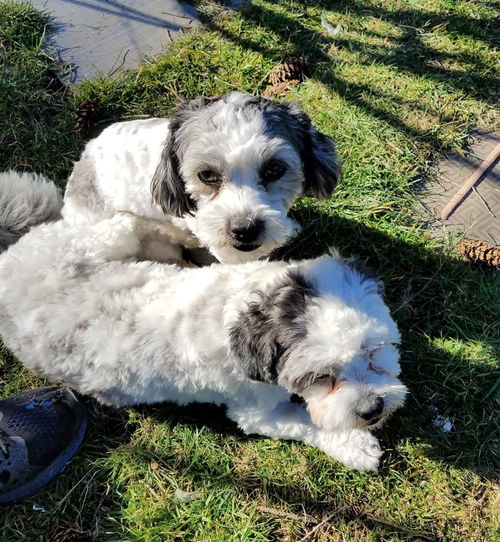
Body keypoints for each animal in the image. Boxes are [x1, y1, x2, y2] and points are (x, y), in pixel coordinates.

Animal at [0, 174, 406, 472]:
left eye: (375, 351)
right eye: (321, 376)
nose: (373, 409)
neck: (238, 308)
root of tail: (10, 260)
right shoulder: (257, 413)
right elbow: (309, 424)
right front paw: (354, 446)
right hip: (89, 242)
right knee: (125, 222)